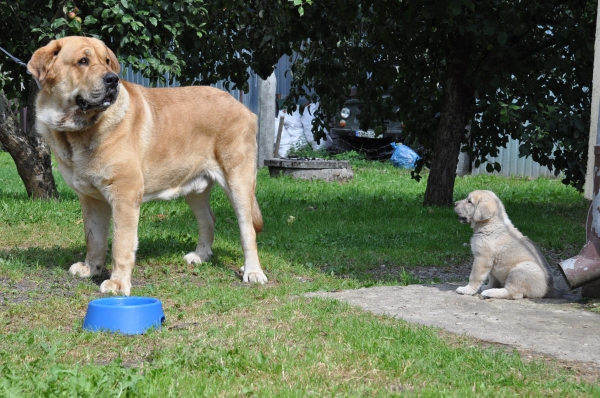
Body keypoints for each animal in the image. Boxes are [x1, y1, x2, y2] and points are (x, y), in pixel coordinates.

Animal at [28, 36, 268, 296]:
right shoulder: (91, 198)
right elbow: (94, 238)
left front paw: (118, 283)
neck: (77, 131)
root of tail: (245, 109)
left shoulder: (125, 193)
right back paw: (200, 256)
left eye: (107, 61)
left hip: (238, 182)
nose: (112, 79)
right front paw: (90, 268)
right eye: (83, 61)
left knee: (247, 230)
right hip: (195, 189)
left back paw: (253, 272)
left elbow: (121, 243)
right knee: (208, 219)